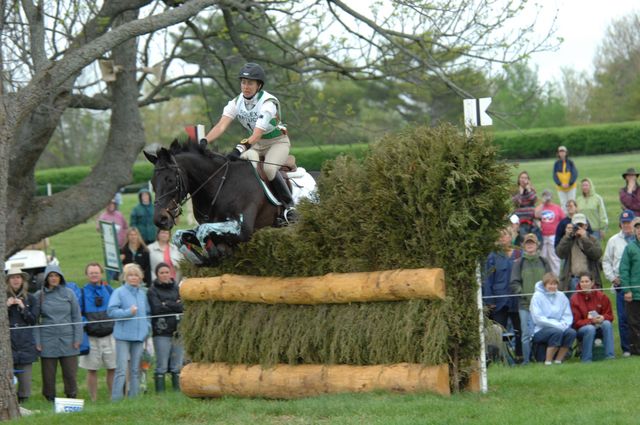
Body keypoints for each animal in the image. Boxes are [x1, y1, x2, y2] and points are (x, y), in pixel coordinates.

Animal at [148, 139, 282, 260]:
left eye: (170, 180)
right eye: (153, 183)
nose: (160, 220)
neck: (221, 185)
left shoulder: (243, 231)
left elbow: (202, 230)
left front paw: (211, 253)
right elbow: (179, 235)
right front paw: (202, 257)